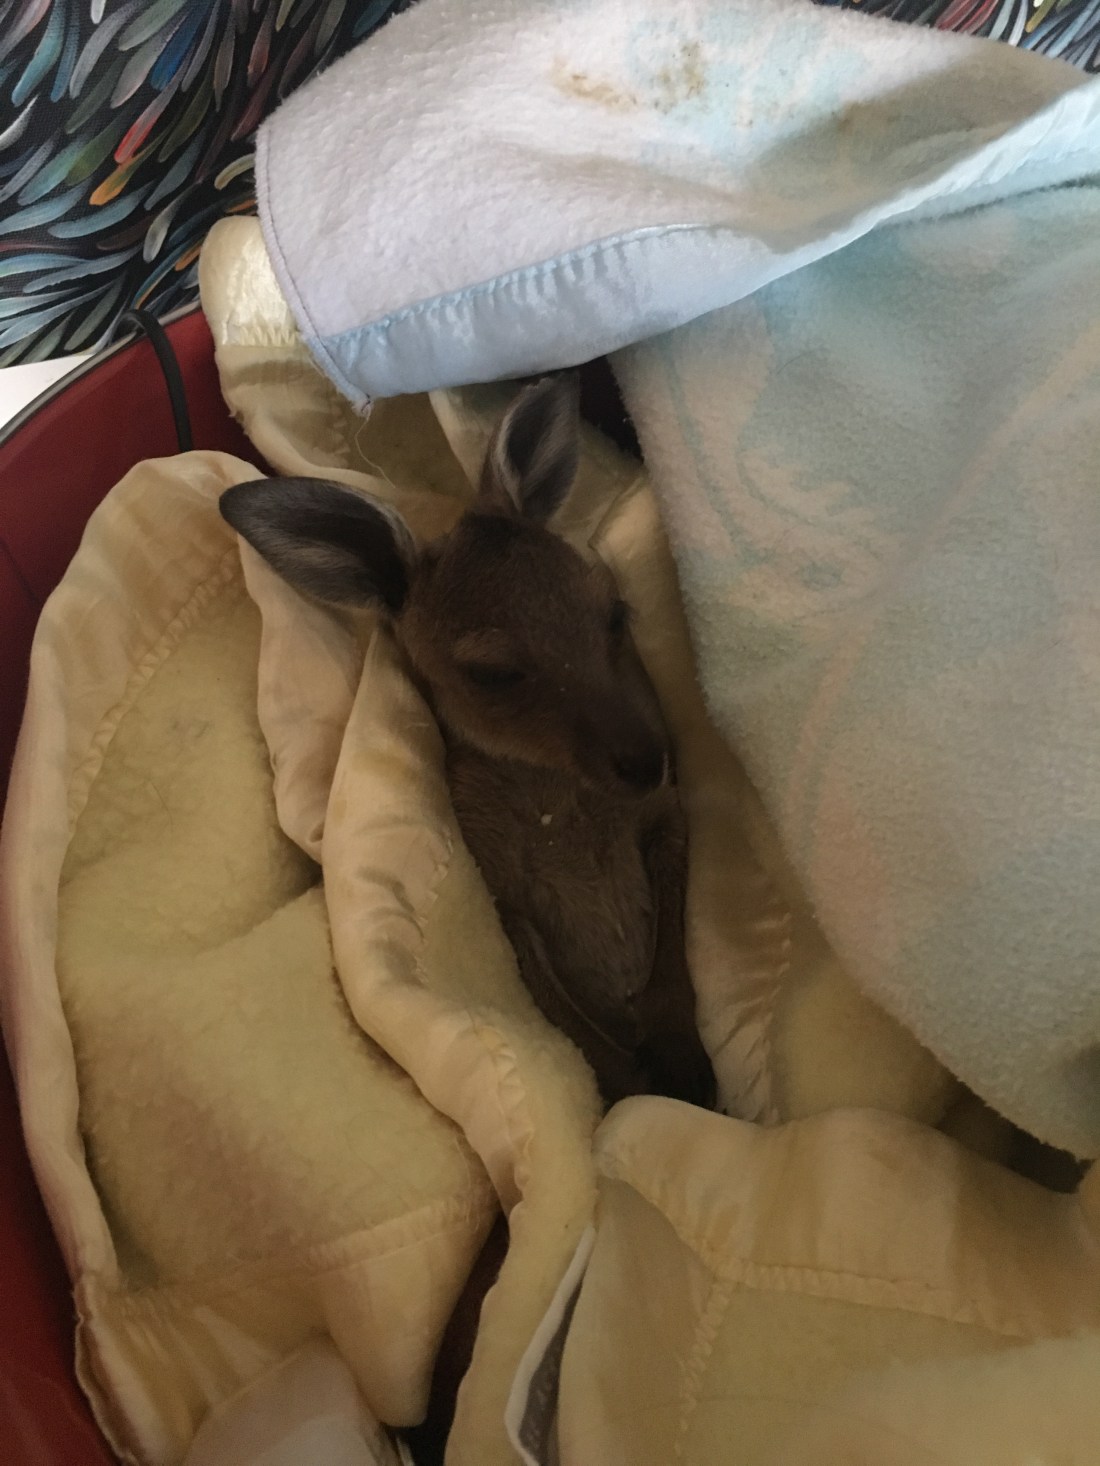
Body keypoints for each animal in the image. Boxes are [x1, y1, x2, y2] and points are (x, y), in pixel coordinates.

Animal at [219, 374, 716, 1110]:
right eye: (493, 674)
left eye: (615, 614)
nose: (649, 760)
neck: (555, 785)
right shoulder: (502, 894)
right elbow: (570, 1024)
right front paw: (632, 1098)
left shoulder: (663, 817)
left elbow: (672, 953)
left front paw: (684, 1064)